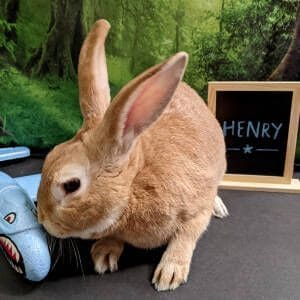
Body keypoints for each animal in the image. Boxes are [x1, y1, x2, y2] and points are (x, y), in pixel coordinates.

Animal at [36, 19, 227, 290]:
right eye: (50, 155)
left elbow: (186, 235)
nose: (41, 218)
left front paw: (170, 273)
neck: (133, 184)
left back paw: (219, 207)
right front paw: (104, 254)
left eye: (71, 185)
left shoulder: (196, 208)